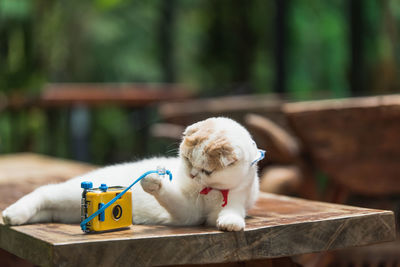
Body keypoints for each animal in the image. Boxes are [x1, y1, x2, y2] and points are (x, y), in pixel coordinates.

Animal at [2, 117, 262, 232]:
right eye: (187, 160)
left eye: (207, 170)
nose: (192, 175)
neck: (208, 192)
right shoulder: (186, 211)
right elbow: (168, 195)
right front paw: (153, 181)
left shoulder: (230, 200)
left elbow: (231, 211)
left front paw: (231, 222)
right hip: (65, 194)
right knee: (42, 191)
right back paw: (11, 213)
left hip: (64, 210)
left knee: (46, 208)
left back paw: (16, 217)